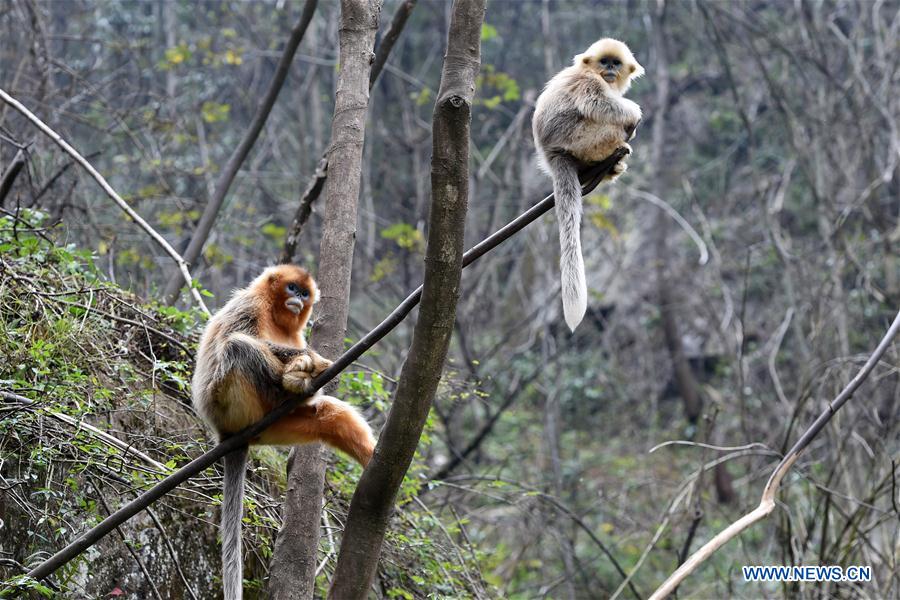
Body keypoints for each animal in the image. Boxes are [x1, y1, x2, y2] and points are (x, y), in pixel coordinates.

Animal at [192, 268, 374, 600]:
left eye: (304, 293)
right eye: (292, 288)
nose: (298, 299)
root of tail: (226, 434)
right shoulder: (248, 305)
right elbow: (240, 336)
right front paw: (310, 359)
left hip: (278, 426)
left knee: (328, 414)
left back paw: (372, 457)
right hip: (227, 401)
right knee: (238, 345)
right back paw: (292, 382)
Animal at [532, 39, 644, 332]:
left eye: (615, 63)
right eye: (604, 62)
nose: (609, 70)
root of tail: (552, 154)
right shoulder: (587, 81)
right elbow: (597, 103)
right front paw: (634, 112)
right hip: (583, 139)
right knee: (609, 122)